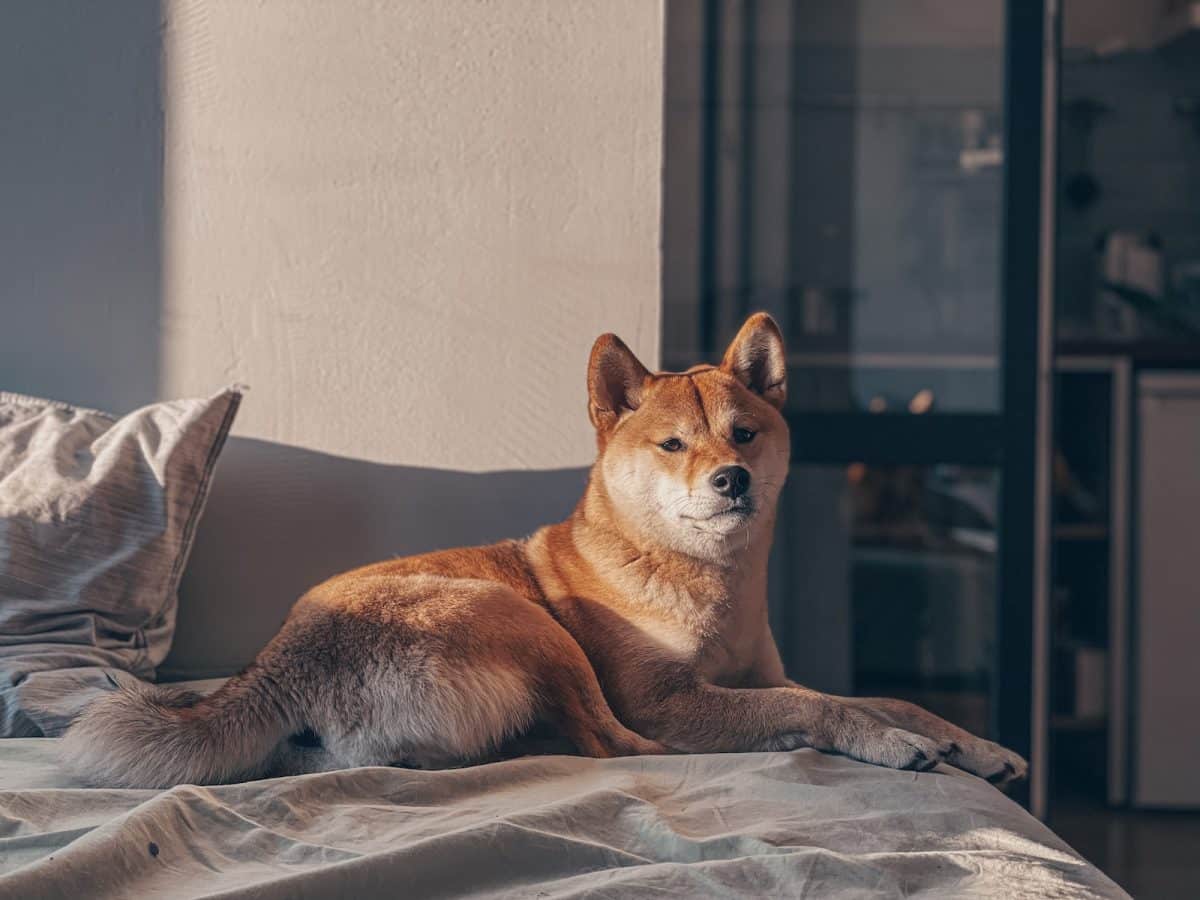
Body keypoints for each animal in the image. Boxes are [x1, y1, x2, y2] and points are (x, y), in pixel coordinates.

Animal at [60, 314, 1027, 787]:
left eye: (745, 435)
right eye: (674, 446)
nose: (731, 481)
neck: (705, 586)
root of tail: (274, 667)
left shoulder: (757, 673)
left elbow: (882, 695)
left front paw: (972, 746)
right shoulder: (670, 699)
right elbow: (817, 706)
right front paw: (886, 745)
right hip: (525, 621)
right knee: (615, 746)